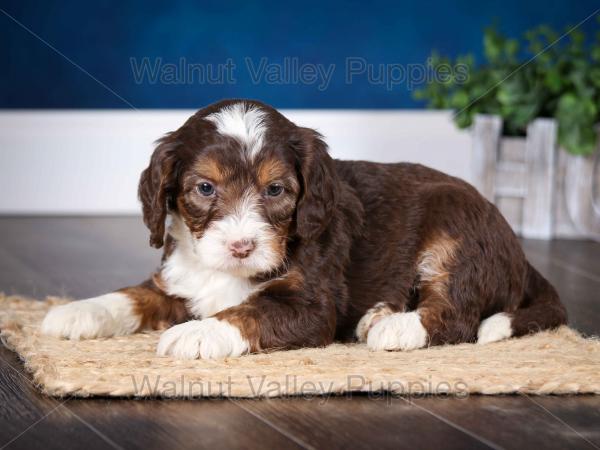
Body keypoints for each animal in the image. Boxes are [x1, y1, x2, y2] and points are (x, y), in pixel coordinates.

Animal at [41, 99, 568, 358]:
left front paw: (196, 334)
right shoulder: (178, 279)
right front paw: (73, 313)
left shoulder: (311, 304)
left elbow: (249, 312)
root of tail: (520, 254)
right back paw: (380, 314)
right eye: (205, 189)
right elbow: (133, 295)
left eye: (276, 190)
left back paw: (393, 328)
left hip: (456, 232)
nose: (241, 246)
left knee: (458, 315)